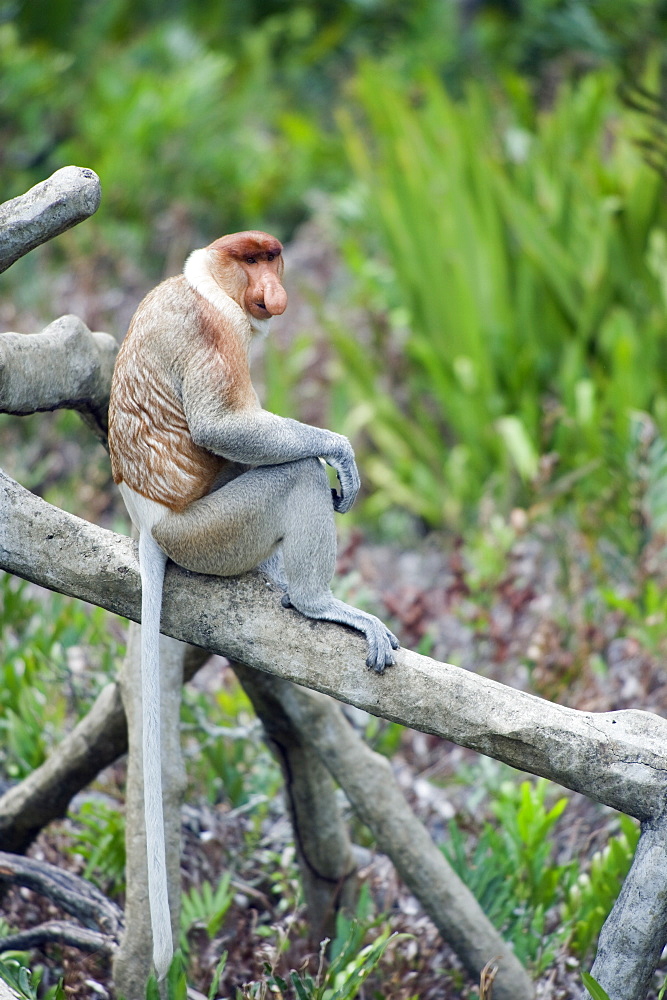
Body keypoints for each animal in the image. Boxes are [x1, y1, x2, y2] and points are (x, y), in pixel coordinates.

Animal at [107, 232, 400, 976]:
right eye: (253, 261)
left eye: (274, 258)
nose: (274, 290)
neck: (207, 285)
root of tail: (148, 524)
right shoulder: (212, 332)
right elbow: (223, 426)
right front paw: (339, 453)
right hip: (210, 532)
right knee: (291, 475)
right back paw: (316, 601)